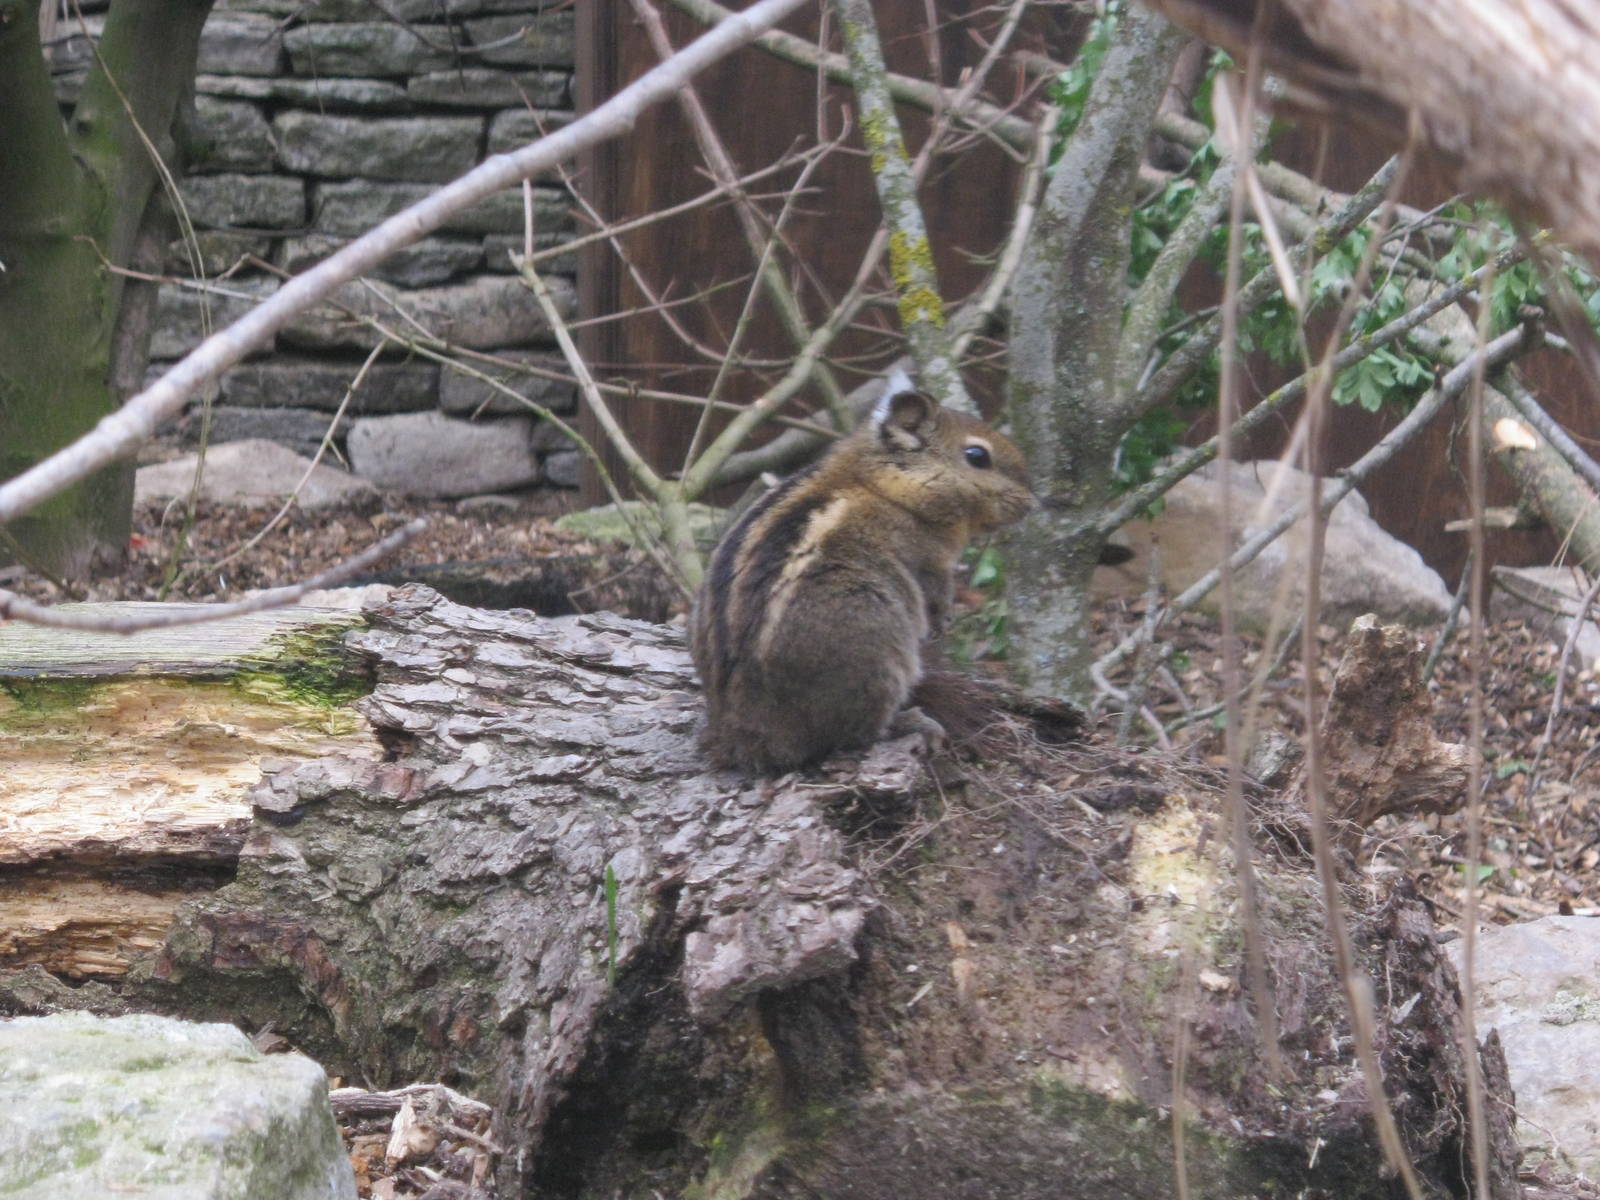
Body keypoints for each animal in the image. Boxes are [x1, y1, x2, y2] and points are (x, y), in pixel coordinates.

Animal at [688, 371, 1037, 774]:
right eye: (977, 456)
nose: (1033, 502)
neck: (882, 481)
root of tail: (743, 736)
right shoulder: (929, 561)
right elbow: (935, 593)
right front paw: (943, 619)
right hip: (876, 651)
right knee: (854, 734)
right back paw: (912, 722)